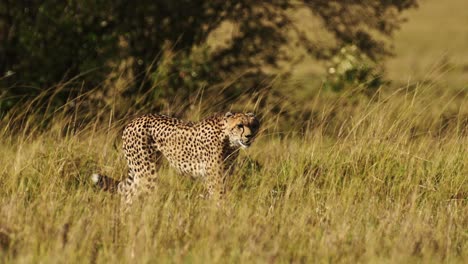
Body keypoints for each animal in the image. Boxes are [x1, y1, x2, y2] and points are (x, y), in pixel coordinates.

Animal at [91, 111, 260, 204]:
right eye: (240, 126)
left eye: (254, 125)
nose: (249, 136)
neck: (229, 140)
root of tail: (132, 122)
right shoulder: (215, 179)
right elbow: (219, 199)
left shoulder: (224, 175)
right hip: (147, 173)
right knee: (130, 196)